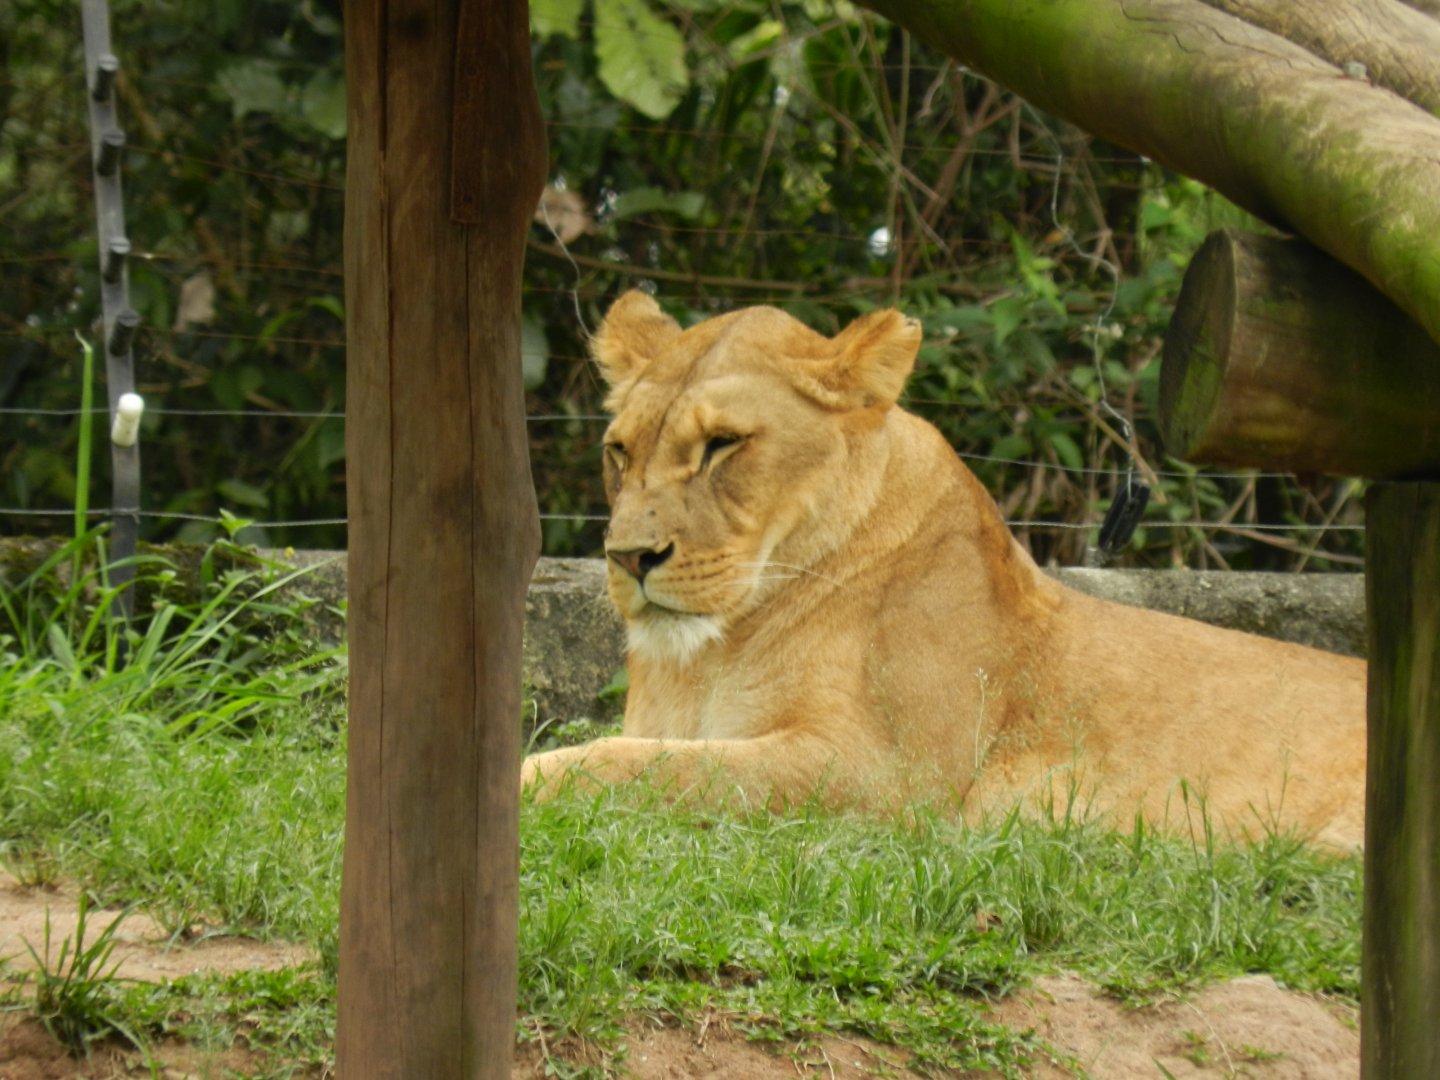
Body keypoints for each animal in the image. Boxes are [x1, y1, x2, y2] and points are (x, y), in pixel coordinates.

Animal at [520, 291, 1367, 849]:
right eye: (619, 450)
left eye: (723, 445)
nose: (628, 557)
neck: (716, 651)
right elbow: (639, 753)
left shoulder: (889, 778)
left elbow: (637, 767)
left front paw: (526, 781)